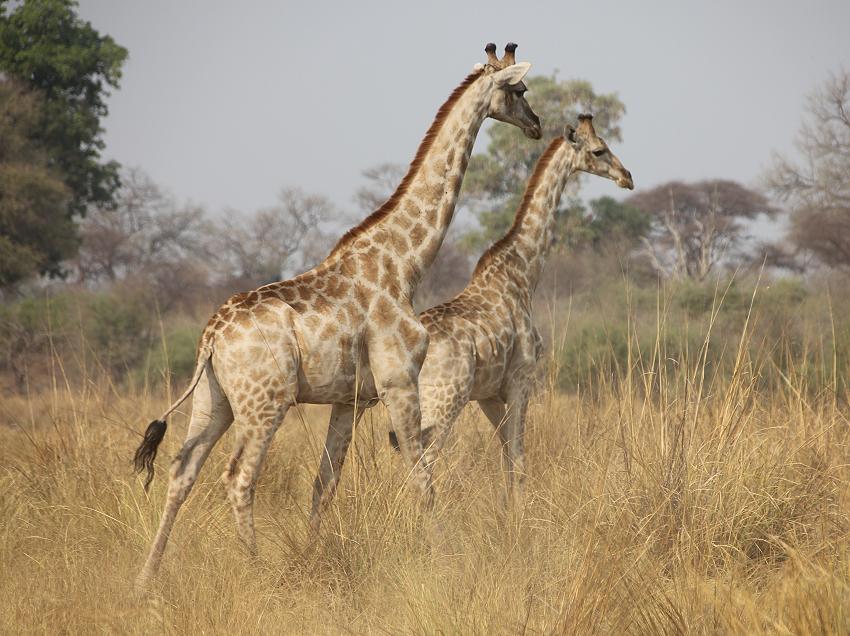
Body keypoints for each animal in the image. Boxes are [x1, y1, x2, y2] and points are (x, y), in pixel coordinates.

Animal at [132, 42, 544, 588]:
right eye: (519, 89)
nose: (537, 124)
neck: (405, 262)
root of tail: (212, 338)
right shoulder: (398, 383)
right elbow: (422, 477)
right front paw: (445, 562)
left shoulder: (351, 399)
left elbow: (324, 483)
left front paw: (311, 558)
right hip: (265, 402)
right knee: (238, 477)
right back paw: (259, 574)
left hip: (213, 398)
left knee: (183, 470)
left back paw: (146, 579)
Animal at [370, 113, 628, 502]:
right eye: (600, 149)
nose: (627, 177)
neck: (524, 273)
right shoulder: (522, 379)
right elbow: (519, 458)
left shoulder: (489, 394)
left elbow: (506, 456)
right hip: (444, 400)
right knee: (425, 460)